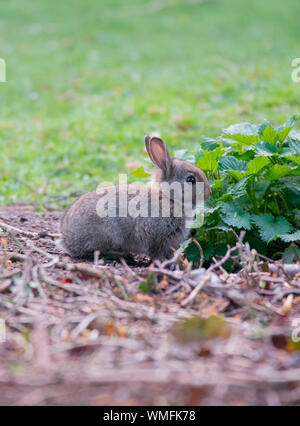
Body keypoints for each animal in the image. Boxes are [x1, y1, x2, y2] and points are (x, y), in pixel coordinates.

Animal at [59, 136, 211, 262]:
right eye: (191, 179)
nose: (209, 193)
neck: (168, 197)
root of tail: (68, 240)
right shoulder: (158, 237)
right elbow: (157, 253)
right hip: (108, 234)